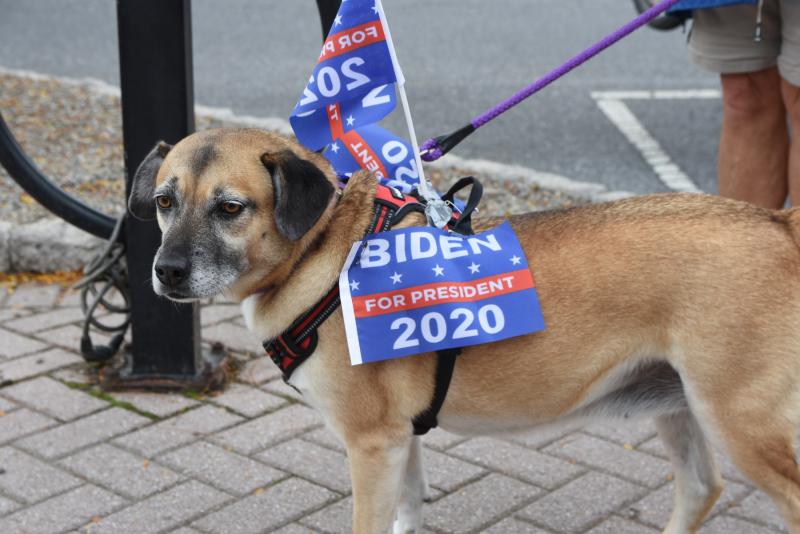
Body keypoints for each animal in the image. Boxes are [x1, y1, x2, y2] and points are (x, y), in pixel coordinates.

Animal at [130, 127, 800, 532]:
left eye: (230, 208)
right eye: (164, 201)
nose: (165, 271)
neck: (328, 248)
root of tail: (777, 222)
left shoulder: (371, 444)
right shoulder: (398, 440)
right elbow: (409, 506)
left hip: (740, 421)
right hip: (679, 404)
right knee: (701, 487)